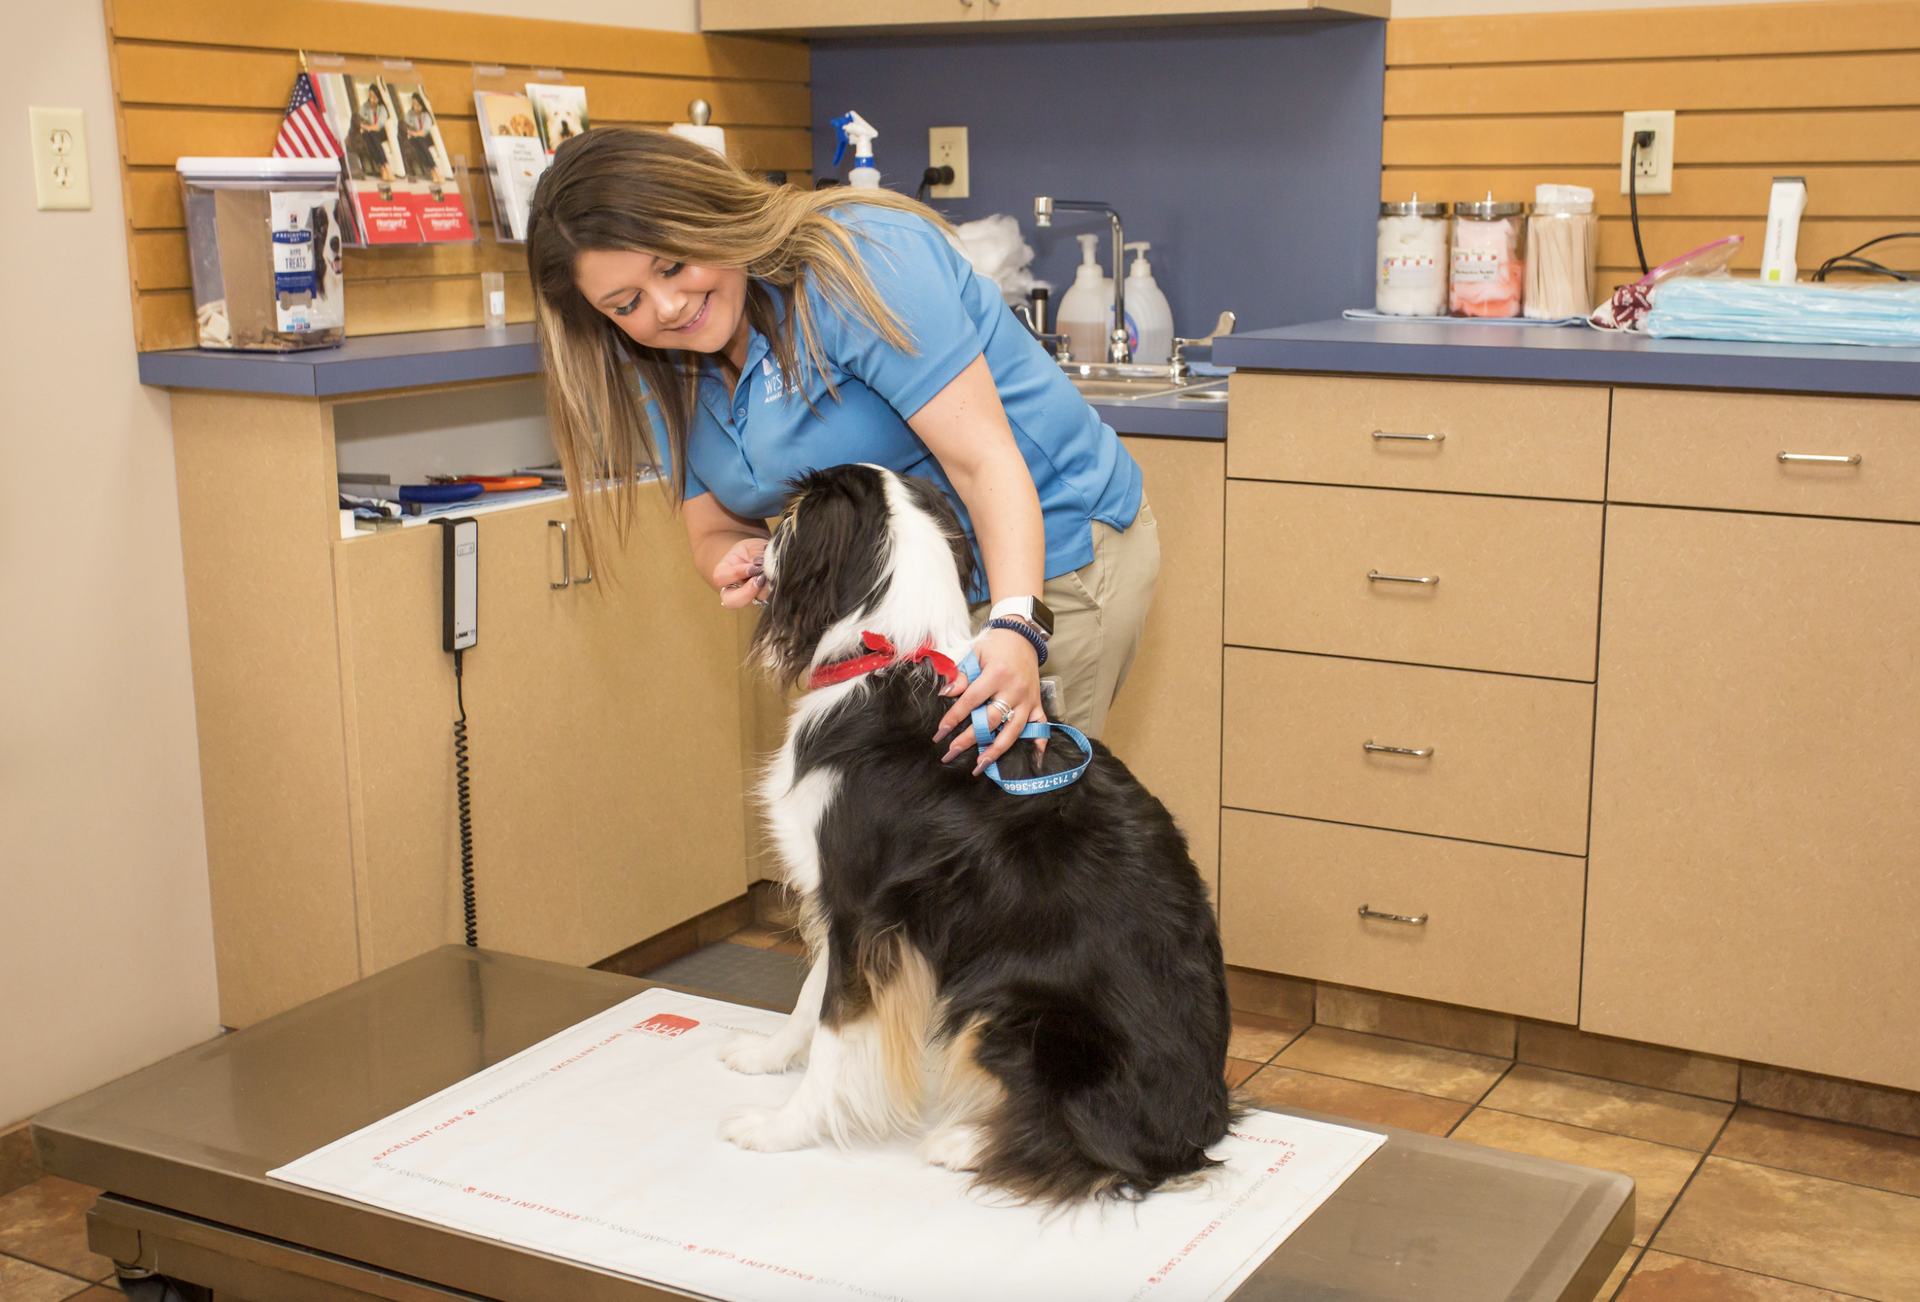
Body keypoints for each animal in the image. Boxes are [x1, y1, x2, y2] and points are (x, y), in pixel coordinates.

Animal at [718, 466, 1228, 1205]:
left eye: (789, 517)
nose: (750, 547)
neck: (888, 654)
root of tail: (1196, 1127)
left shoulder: (862, 907)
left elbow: (838, 1028)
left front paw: (781, 1128)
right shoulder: (844, 906)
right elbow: (811, 998)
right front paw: (766, 1057)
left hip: (1007, 1006)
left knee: (1094, 1149)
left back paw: (963, 1143)